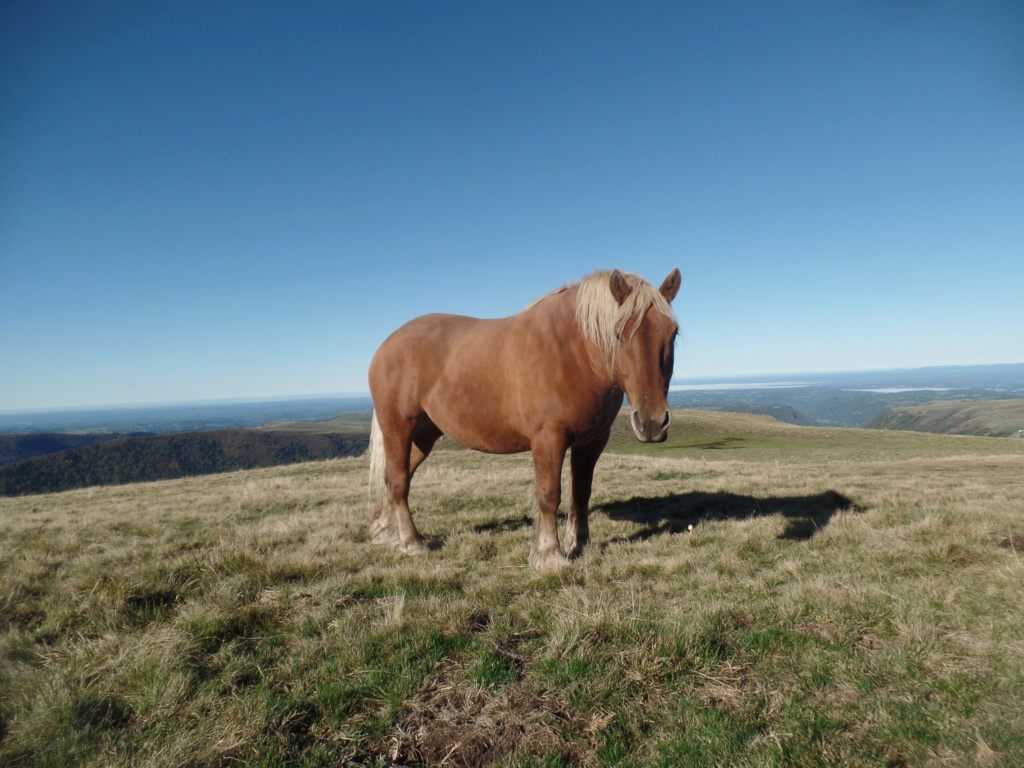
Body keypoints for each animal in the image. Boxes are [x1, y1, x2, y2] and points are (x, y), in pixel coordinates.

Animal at [368, 268, 679, 569]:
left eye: (673, 333)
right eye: (618, 334)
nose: (652, 422)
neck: (574, 352)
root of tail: (387, 345)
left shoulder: (592, 441)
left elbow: (581, 492)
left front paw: (579, 543)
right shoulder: (548, 437)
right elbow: (549, 494)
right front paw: (549, 554)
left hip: (423, 437)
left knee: (393, 478)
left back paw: (386, 532)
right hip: (398, 429)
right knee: (398, 481)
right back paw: (410, 542)